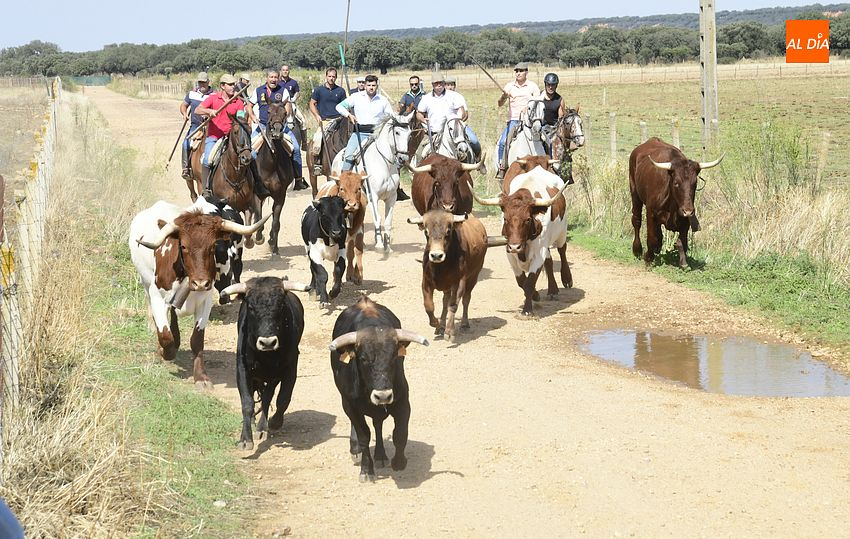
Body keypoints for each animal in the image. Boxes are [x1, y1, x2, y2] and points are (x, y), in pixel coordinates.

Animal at [253, 102, 297, 255]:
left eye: (285, 113)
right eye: (269, 111)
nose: (277, 132)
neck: (271, 164)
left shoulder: (280, 196)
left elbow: (276, 222)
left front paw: (275, 248)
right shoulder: (257, 195)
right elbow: (259, 219)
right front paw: (258, 237)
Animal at [331, 112, 414, 252]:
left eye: (409, 134)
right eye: (397, 132)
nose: (403, 158)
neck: (384, 164)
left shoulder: (392, 197)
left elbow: (387, 222)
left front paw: (388, 246)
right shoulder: (373, 196)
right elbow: (377, 219)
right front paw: (379, 244)